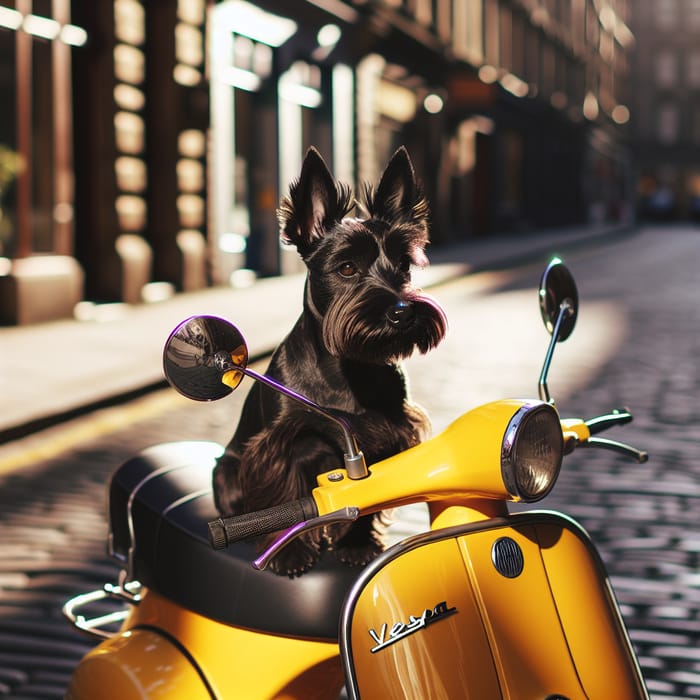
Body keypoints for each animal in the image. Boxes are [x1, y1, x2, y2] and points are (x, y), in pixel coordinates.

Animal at [211, 146, 448, 576]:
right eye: (347, 267)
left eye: (403, 265)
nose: (403, 312)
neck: (348, 370)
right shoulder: (277, 446)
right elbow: (282, 496)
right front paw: (289, 552)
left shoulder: (389, 436)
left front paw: (356, 543)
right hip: (226, 470)